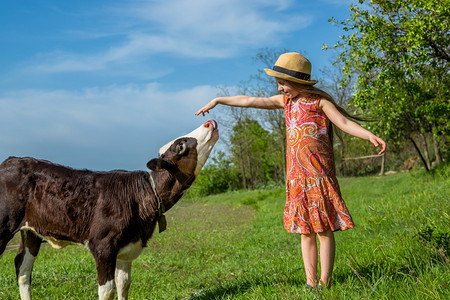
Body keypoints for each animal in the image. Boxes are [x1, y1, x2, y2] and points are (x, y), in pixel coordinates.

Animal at [0, 119, 218, 298]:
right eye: (180, 145)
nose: (210, 121)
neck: (144, 194)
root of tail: (11, 160)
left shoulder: (127, 247)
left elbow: (124, 284)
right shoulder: (103, 245)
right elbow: (108, 290)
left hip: (31, 231)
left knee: (22, 269)